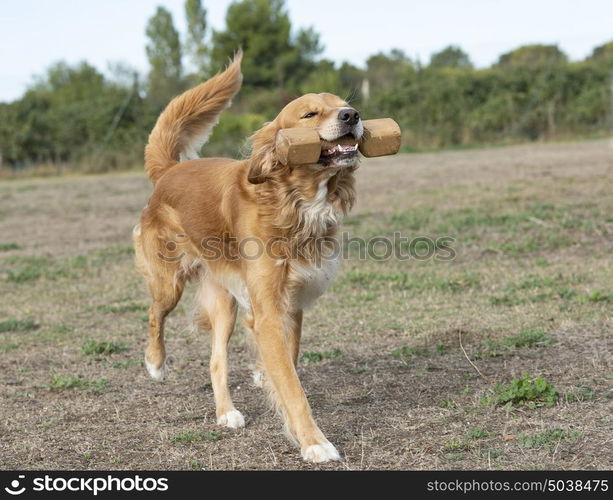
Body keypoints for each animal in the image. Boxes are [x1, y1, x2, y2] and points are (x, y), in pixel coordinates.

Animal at [134, 52, 364, 462]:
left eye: (344, 104)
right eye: (310, 113)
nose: (352, 115)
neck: (293, 201)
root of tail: (170, 170)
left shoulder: (291, 303)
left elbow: (288, 361)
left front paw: (266, 379)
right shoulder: (268, 311)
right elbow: (292, 386)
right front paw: (314, 442)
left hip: (225, 301)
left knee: (215, 361)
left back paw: (226, 413)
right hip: (169, 282)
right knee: (154, 313)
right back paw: (155, 363)